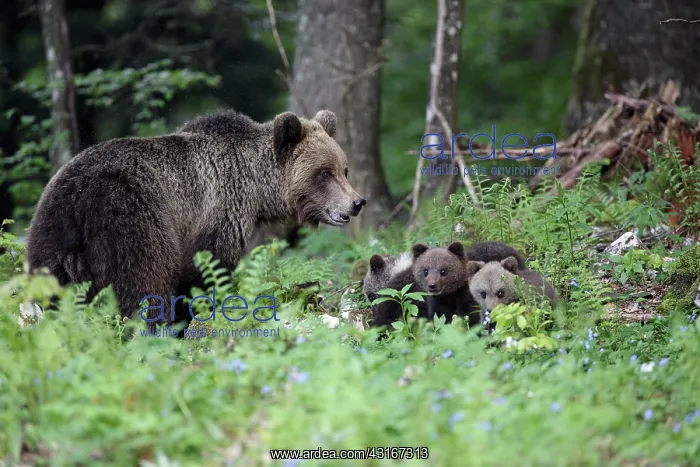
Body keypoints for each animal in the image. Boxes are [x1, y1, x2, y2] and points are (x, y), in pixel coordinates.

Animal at [26, 109, 366, 331]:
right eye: (324, 172)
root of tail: (76, 206)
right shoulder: (215, 216)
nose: (357, 203)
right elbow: (205, 274)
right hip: (130, 220)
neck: (255, 188)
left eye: (344, 169)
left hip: (50, 244)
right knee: (141, 286)